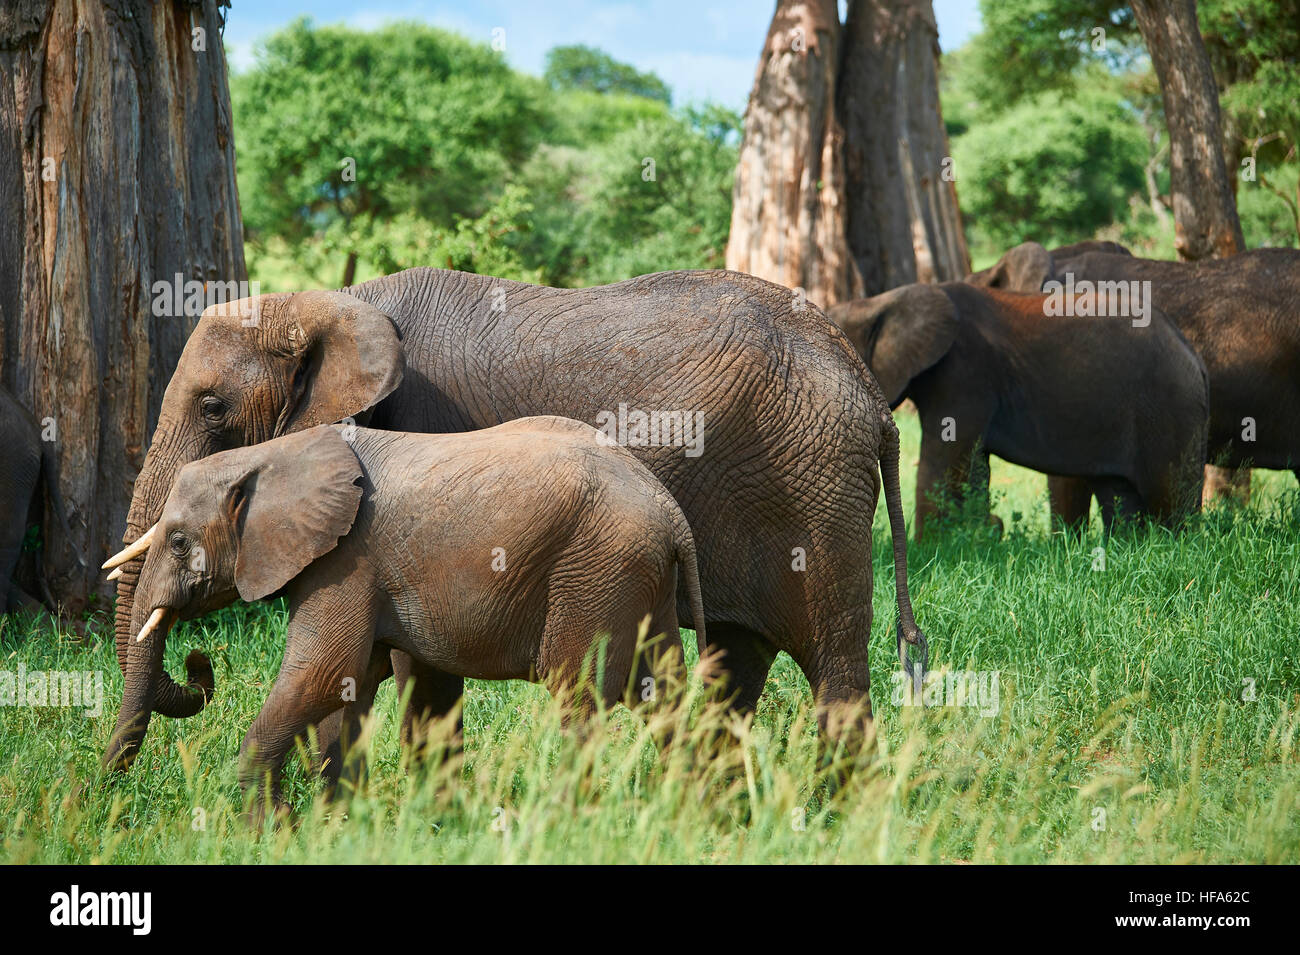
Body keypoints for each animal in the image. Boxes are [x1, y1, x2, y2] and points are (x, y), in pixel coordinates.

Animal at [103, 419, 707, 811]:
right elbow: (351, 690)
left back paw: (561, 821)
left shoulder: (346, 560)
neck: (276, 453)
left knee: (579, 700)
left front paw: (265, 832)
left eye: (179, 541)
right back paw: (684, 812)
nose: (198, 661)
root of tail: (671, 511)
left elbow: (322, 677)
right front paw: (337, 825)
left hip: (597, 573)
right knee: (664, 696)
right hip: (638, 580)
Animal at [104, 269, 927, 756]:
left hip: (815, 496)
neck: (329, 305)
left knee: (833, 668)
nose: (200, 667)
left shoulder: (421, 431)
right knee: (736, 663)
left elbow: (413, 661)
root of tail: (867, 393)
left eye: (213, 409)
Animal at [825, 281, 1208, 538]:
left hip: (1169, 411)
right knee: (1120, 496)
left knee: (1171, 498)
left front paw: (929, 547)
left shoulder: (965, 371)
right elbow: (974, 466)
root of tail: (1192, 354)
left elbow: (944, 460)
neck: (882, 301)